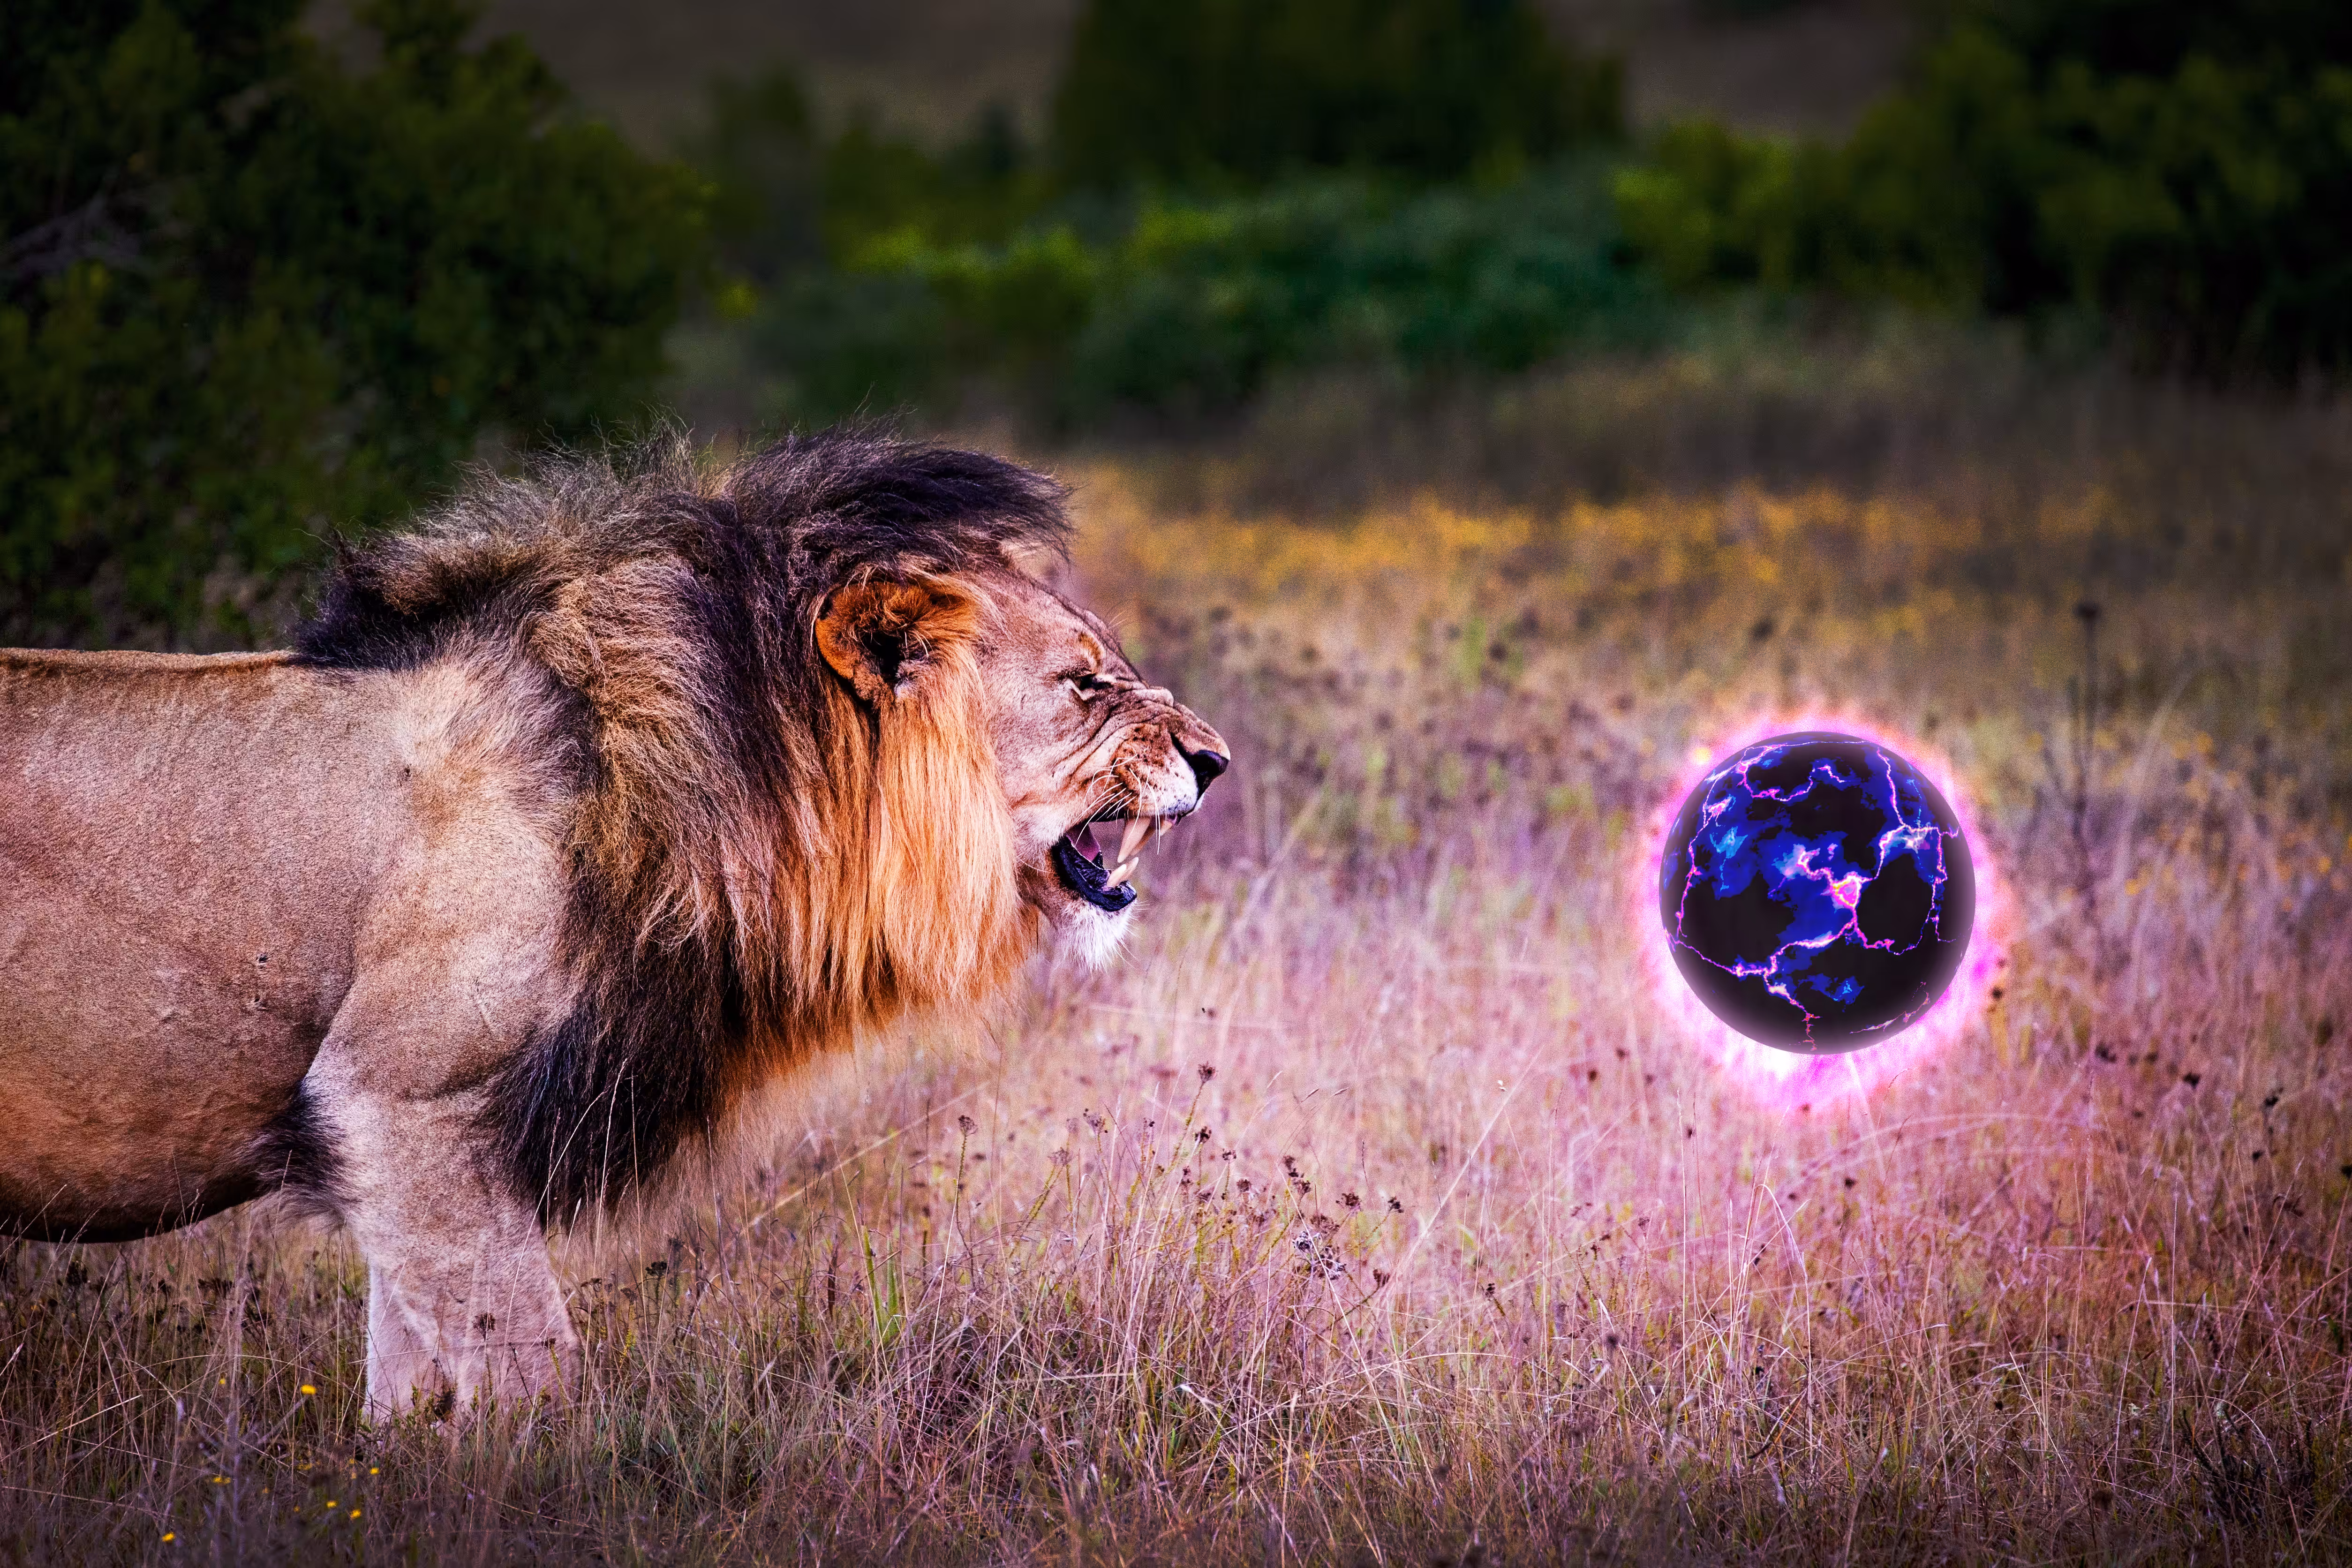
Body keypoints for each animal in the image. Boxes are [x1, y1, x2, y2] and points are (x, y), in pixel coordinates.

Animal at [0, 431, 1227, 1417]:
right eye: (1083, 685)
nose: (1214, 759)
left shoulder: (407, 1144)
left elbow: (412, 1388)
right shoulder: (398, 1098)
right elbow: (526, 1369)